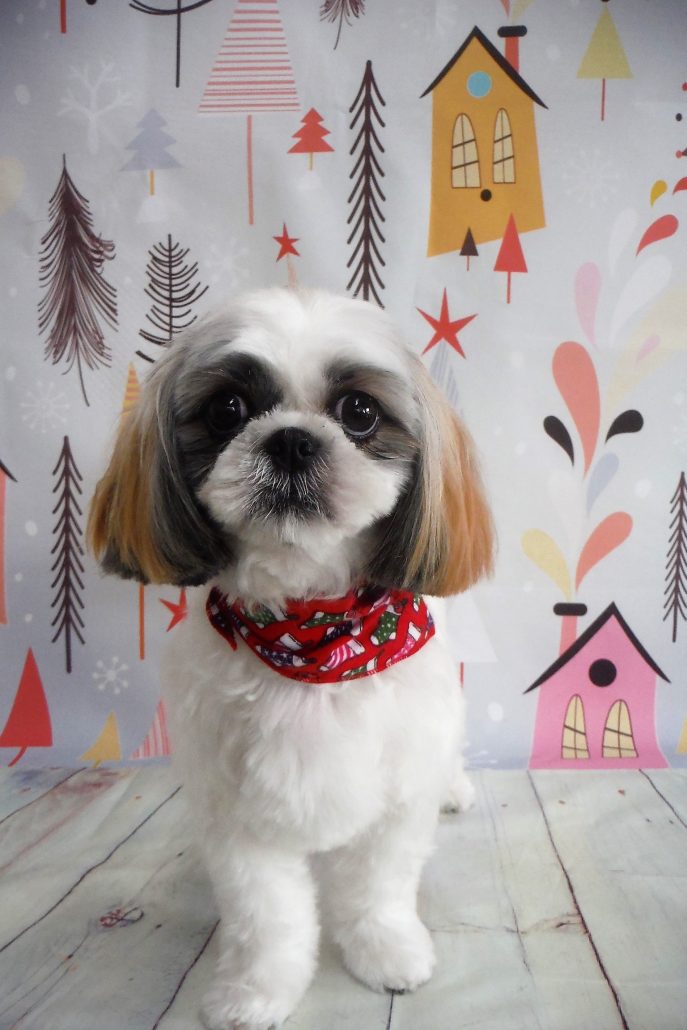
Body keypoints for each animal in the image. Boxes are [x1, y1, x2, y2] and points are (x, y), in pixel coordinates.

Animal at [89, 288, 494, 1030]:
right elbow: (265, 916)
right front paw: (257, 991)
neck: (314, 637)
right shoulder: (235, 811)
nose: (291, 439)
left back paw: (452, 787)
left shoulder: (395, 793)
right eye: (227, 409)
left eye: (358, 411)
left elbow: (379, 888)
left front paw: (387, 954)